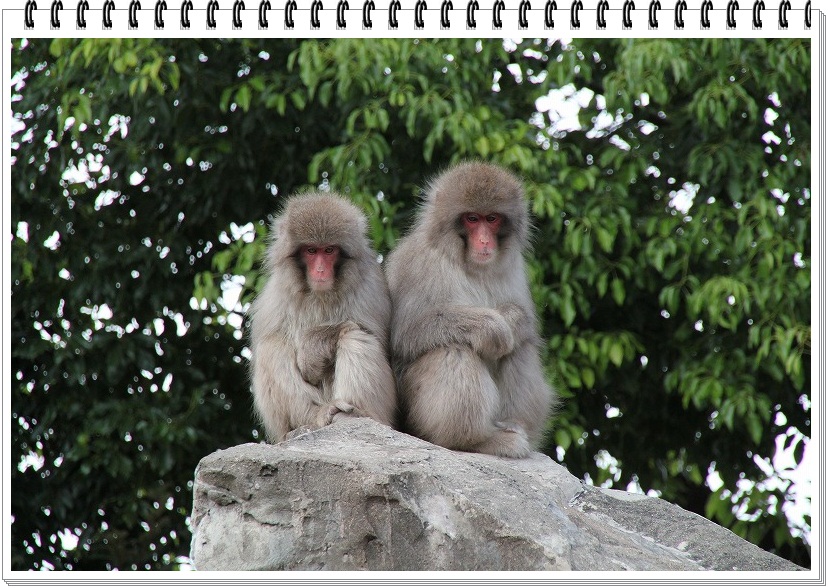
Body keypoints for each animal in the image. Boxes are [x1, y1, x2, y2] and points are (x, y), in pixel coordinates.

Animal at [249, 192, 398, 440]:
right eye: (311, 251)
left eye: (329, 250)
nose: (320, 270)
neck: (320, 294)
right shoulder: (275, 297)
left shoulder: (370, 289)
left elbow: (370, 335)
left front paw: (312, 350)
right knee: (272, 345)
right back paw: (316, 415)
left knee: (356, 337)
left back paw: (358, 414)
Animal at [386, 162, 556, 460]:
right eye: (472, 219)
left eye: (492, 219)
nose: (485, 241)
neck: (468, 263)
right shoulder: (418, 263)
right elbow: (407, 333)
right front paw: (493, 328)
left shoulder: (515, 267)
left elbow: (522, 319)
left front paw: (511, 319)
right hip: (414, 419)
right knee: (455, 349)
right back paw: (476, 441)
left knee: (520, 347)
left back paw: (512, 425)